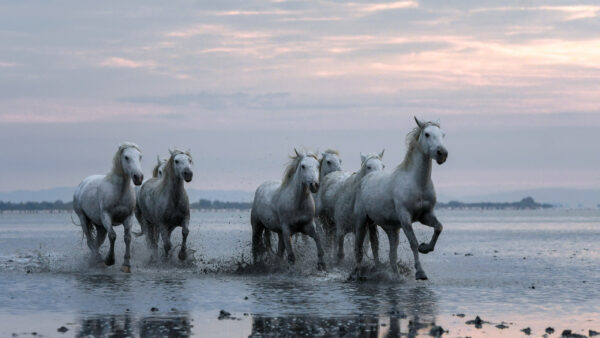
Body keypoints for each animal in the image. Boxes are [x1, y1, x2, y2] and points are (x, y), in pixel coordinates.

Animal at [71, 142, 143, 272]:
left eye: (140, 156)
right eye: (126, 157)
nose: (138, 177)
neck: (119, 191)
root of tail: (82, 184)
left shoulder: (128, 217)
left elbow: (127, 238)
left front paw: (126, 265)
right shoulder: (106, 216)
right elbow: (113, 236)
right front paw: (109, 260)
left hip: (100, 226)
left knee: (97, 242)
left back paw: (94, 261)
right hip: (83, 218)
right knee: (90, 240)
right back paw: (99, 260)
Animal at [354, 118, 448, 280]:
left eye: (442, 134)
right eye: (427, 134)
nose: (442, 153)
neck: (417, 184)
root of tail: (367, 178)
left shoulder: (426, 215)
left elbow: (438, 228)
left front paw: (425, 248)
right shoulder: (405, 218)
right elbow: (413, 242)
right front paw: (420, 272)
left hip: (390, 228)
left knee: (391, 255)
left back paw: (395, 276)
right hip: (362, 222)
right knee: (359, 248)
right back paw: (357, 274)